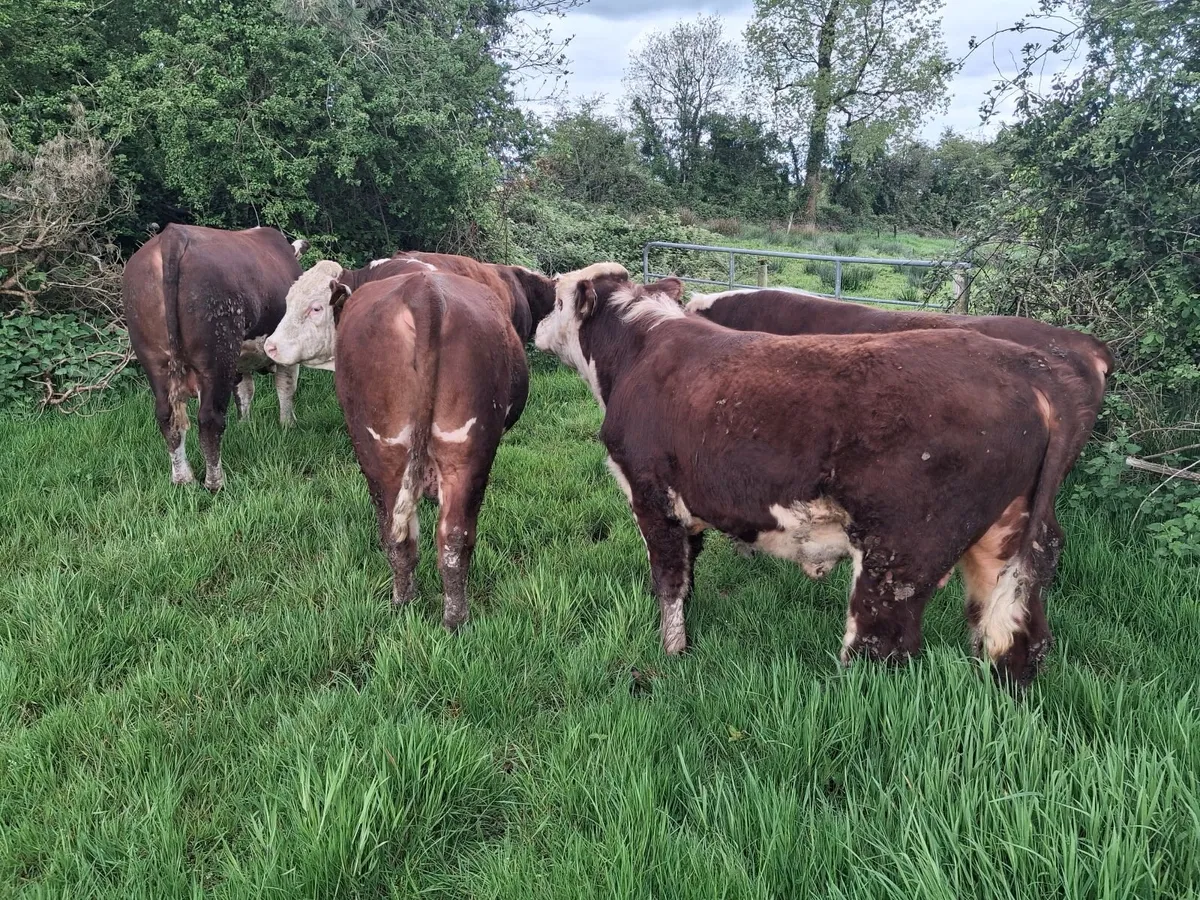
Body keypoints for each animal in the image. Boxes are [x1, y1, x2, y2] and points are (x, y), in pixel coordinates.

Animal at [123, 224, 307, 491]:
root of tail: (172, 235)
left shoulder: (239, 362)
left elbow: (244, 391)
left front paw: (245, 425)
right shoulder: (286, 352)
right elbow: (285, 388)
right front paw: (288, 425)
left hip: (154, 360)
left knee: (167, 416)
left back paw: (183, 479)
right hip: (216, 356)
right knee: (210, 418)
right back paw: (215, 482)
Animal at [334, 270, 529, 630]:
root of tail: (421, 290)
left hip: (385, 450)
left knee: (408, 533)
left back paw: (416, 607)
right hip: (462, 452)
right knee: (449, 536)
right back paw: (446, 617)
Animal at [535, 263, 1090, 687]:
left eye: (556, 297)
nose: (535, 325)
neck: (638, 350)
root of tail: (1027, 368)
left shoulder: (651, 495)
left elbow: (668, 581)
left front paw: (671, 652)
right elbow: (687, 576)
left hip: (900, 559)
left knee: (881, 652)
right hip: (1004, 543)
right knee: (1018, 635)